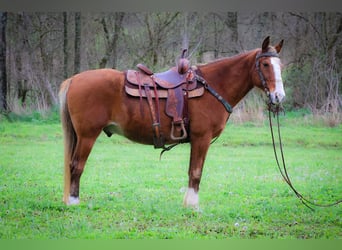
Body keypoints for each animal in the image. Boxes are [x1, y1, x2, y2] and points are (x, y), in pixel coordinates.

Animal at [59, 36, 286, 209]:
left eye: (280, 66)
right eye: (265, 64)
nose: (279, 96)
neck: (212, 86)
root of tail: (74, 79)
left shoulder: (197, 140)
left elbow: (192, 171)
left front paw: (188, 203)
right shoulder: (201, 138)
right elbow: (196, 172)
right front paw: (193, 206)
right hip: (87, 136)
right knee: (76, 166)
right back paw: (73, 202)